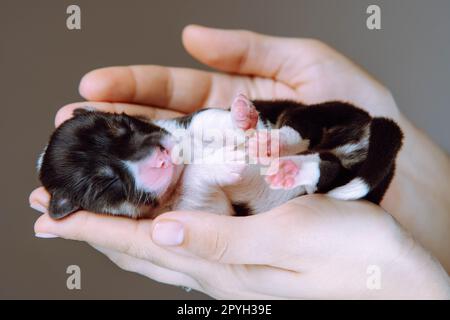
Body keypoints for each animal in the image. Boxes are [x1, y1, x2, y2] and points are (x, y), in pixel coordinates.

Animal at [38, 92, 402, 219]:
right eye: (107, 184)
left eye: (122, 125)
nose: (161, 156)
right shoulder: (201, 210)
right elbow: (200, 183)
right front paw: (227, 162)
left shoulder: (188, 121)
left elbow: (207, 118)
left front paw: (241, 119)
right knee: (326, 170)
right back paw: (288, 170)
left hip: (310, 111)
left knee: (301, 129)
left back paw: (269, 142)